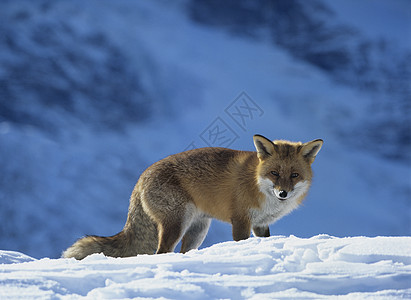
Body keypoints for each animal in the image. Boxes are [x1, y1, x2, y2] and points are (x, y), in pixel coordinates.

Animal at [62, 135, 324, 258]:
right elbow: (240, 241)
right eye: (274, 173)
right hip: (177, 223)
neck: (257, 183)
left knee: (181, 252)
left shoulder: (261, 224)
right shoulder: (241, 220)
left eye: (294, 175)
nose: (283, 193)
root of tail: (141, 176)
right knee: (161, 252)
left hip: (198, 230)